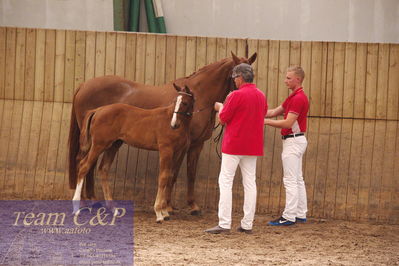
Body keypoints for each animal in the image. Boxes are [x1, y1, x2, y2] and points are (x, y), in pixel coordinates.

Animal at [74, 84, 196, 222]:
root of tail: (98, 110)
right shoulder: (166, 150)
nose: (174, 124)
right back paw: (77, 208)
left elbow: (169, 177)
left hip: (114, 145)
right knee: (84, 166)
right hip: (99, 145)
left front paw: (165, 212)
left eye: (185, 103)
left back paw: (114, 209)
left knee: (103, 169)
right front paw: (159, 213)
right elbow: (163, 177)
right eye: (175, 101)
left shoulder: (177, 152)